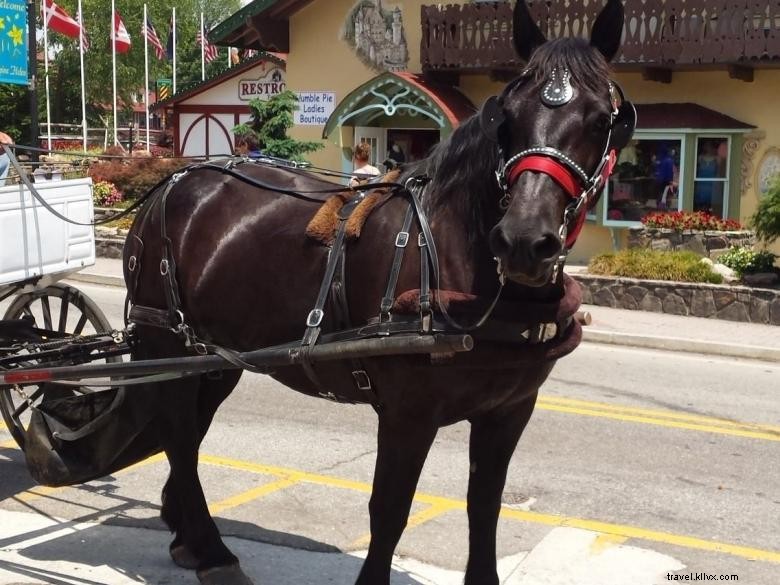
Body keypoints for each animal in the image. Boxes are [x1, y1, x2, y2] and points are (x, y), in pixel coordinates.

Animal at [122, 2, 632, 580]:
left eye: (601, 119)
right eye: (508, 117)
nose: (525, 240)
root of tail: (171, 183)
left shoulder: (510, 410)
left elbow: (485, 504)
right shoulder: (409, 413)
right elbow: (389, 510)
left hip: (214, 358)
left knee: (186, 434)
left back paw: (187, 534)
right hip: (165, 342)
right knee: (179, 435)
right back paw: (211, 550)